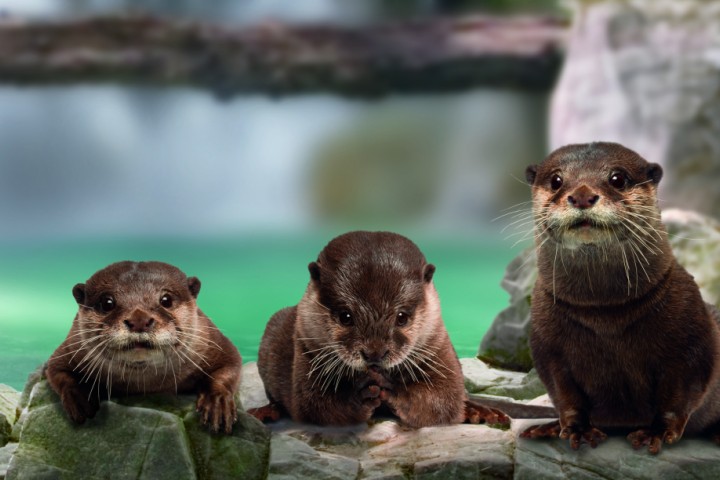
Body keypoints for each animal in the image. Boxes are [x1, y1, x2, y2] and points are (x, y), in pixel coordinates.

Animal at [45, 261, 242, 434]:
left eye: (166, 300)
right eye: (107, 302)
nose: (139, 319)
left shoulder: (213, 342)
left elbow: (230, 365)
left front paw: (217, 403)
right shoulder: (71, 347)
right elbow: (56, 371)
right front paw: (81, 397)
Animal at [253, 231, 508, 427]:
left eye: (402, 317)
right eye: (345, 316)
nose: (374, 353)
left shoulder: (438, 347)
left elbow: (444, 401)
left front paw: (394, 387)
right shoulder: (306, 348)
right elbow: (314, 406)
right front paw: (356, 395)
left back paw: (483, 413)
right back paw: (265, 412)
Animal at [520, 142, 720, 454]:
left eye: (618, 178)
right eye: (556, 180)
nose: (582, 195)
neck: (604, 314)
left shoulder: (692, 338)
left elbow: (679, 396)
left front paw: (656, 433)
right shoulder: (547, 346)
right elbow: (564, 395)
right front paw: (577, 430)